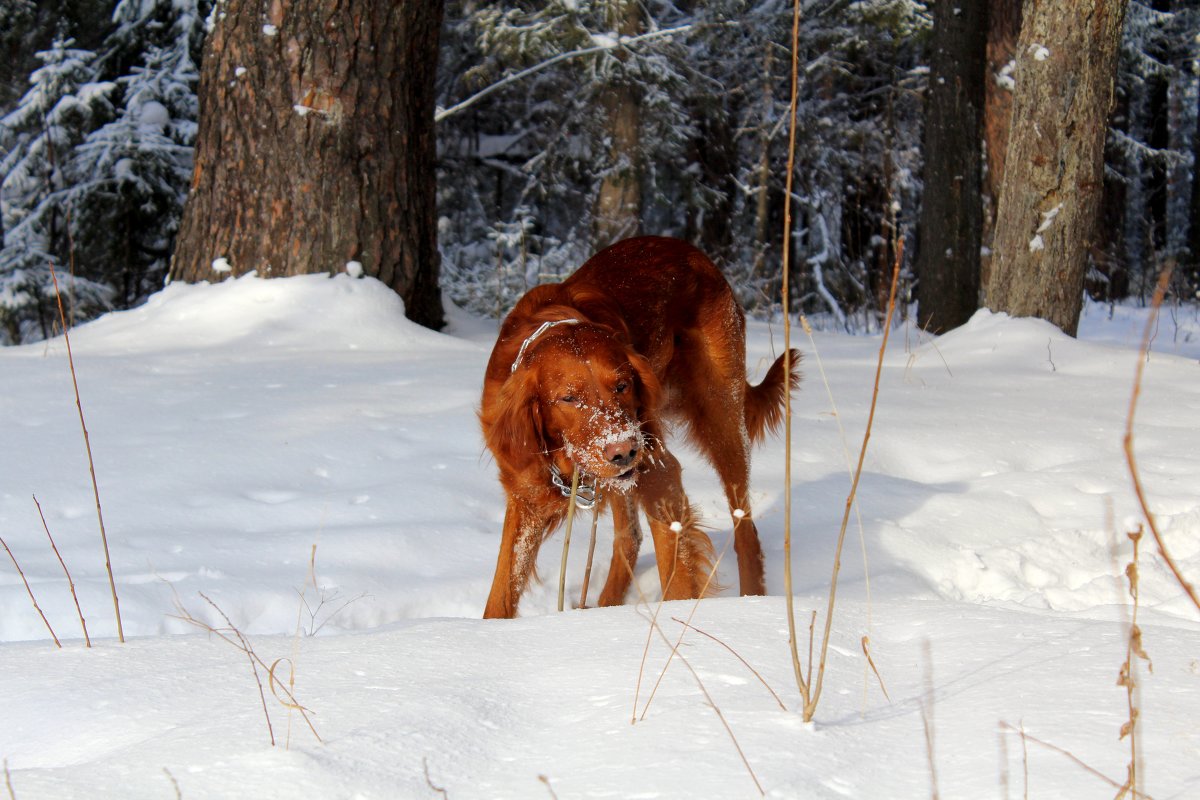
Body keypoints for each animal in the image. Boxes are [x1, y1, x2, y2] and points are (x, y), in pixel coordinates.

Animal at [477, 237, 796, 618]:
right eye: (568, 398)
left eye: (622, 385)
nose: (624, 450)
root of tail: (690, 250)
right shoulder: (526, 496)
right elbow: (500, 594)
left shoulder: (660, 473)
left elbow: (676, 579)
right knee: (629, 538)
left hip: (721, 418)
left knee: (746, 531)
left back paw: (754, 604)